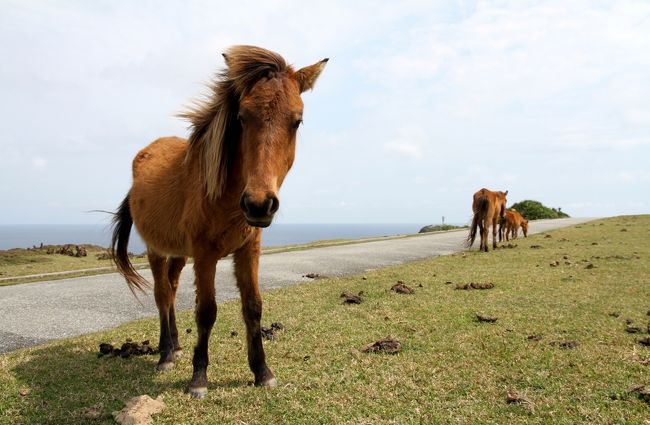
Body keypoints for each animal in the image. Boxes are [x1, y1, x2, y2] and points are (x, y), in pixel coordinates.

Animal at [110, 46, 330, 398]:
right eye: (241, 117)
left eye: (297, 121)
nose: (259, 204)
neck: (224, 195)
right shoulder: (204, 255)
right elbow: (206, 312)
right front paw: (199, 378)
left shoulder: (248, 250)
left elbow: (253, 307)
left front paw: (262, 372)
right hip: (157, 250)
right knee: (161, 295)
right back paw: (165, 354)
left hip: (179, 254)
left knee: (172, 291)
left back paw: (176, 347)